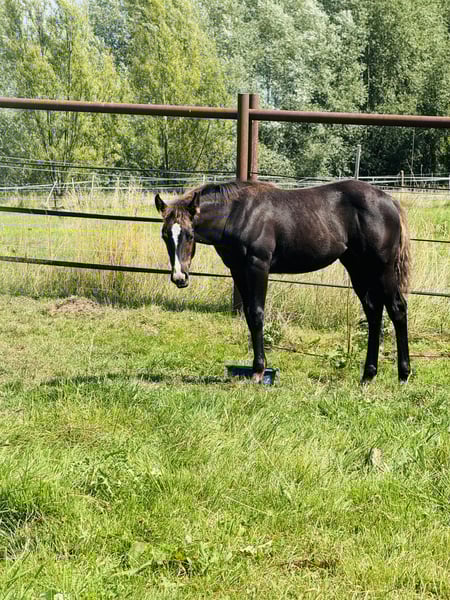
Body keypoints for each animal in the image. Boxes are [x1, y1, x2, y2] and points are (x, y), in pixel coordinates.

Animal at [155, 179, 411, 384]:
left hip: (382, 269)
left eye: (189, 235)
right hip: (357, 267)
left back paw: (403, 374)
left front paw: (259, 371)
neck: (238, 214)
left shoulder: (258, 266)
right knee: (373, 312)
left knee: (397, 309)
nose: (179, 277)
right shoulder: (238, 270)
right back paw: (368, 375)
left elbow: (257, 313)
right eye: (165, 236)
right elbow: (249, 315)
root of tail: (390, 201)